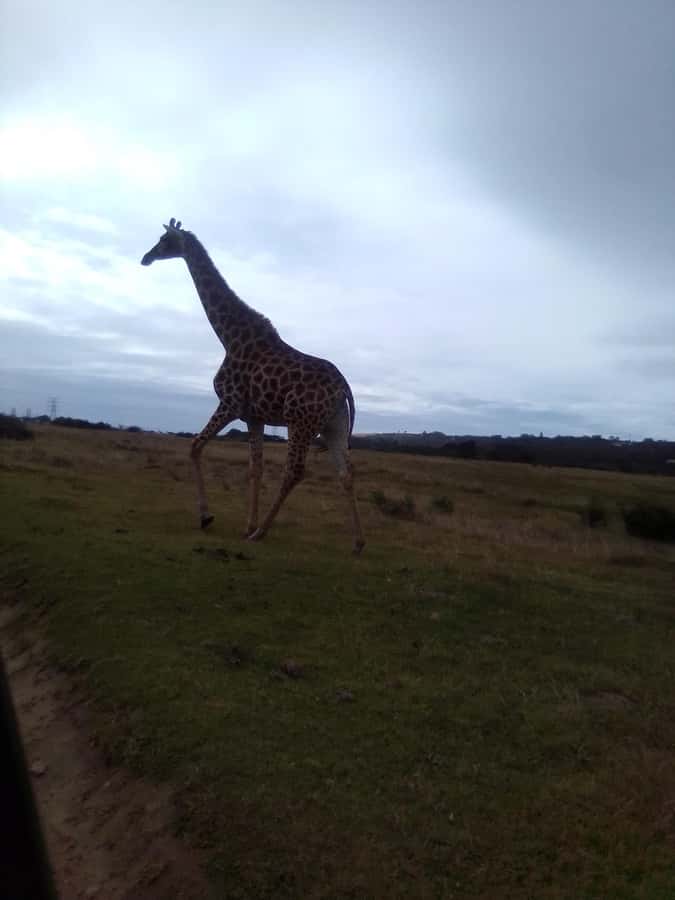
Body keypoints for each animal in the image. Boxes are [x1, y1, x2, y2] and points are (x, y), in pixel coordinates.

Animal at [141, 218, 365, 554]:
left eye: (164, 240)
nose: (147, 257)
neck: (230, 337)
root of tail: (344, 388)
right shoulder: (254, 417)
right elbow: (254, 468)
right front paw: (245, 523)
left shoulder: (230, 404)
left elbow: (195, 447)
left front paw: (208, 517)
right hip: (333, 426)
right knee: (346, 472)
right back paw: (358, 542)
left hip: (300, 422)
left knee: (295, 471)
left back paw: (261, 533)